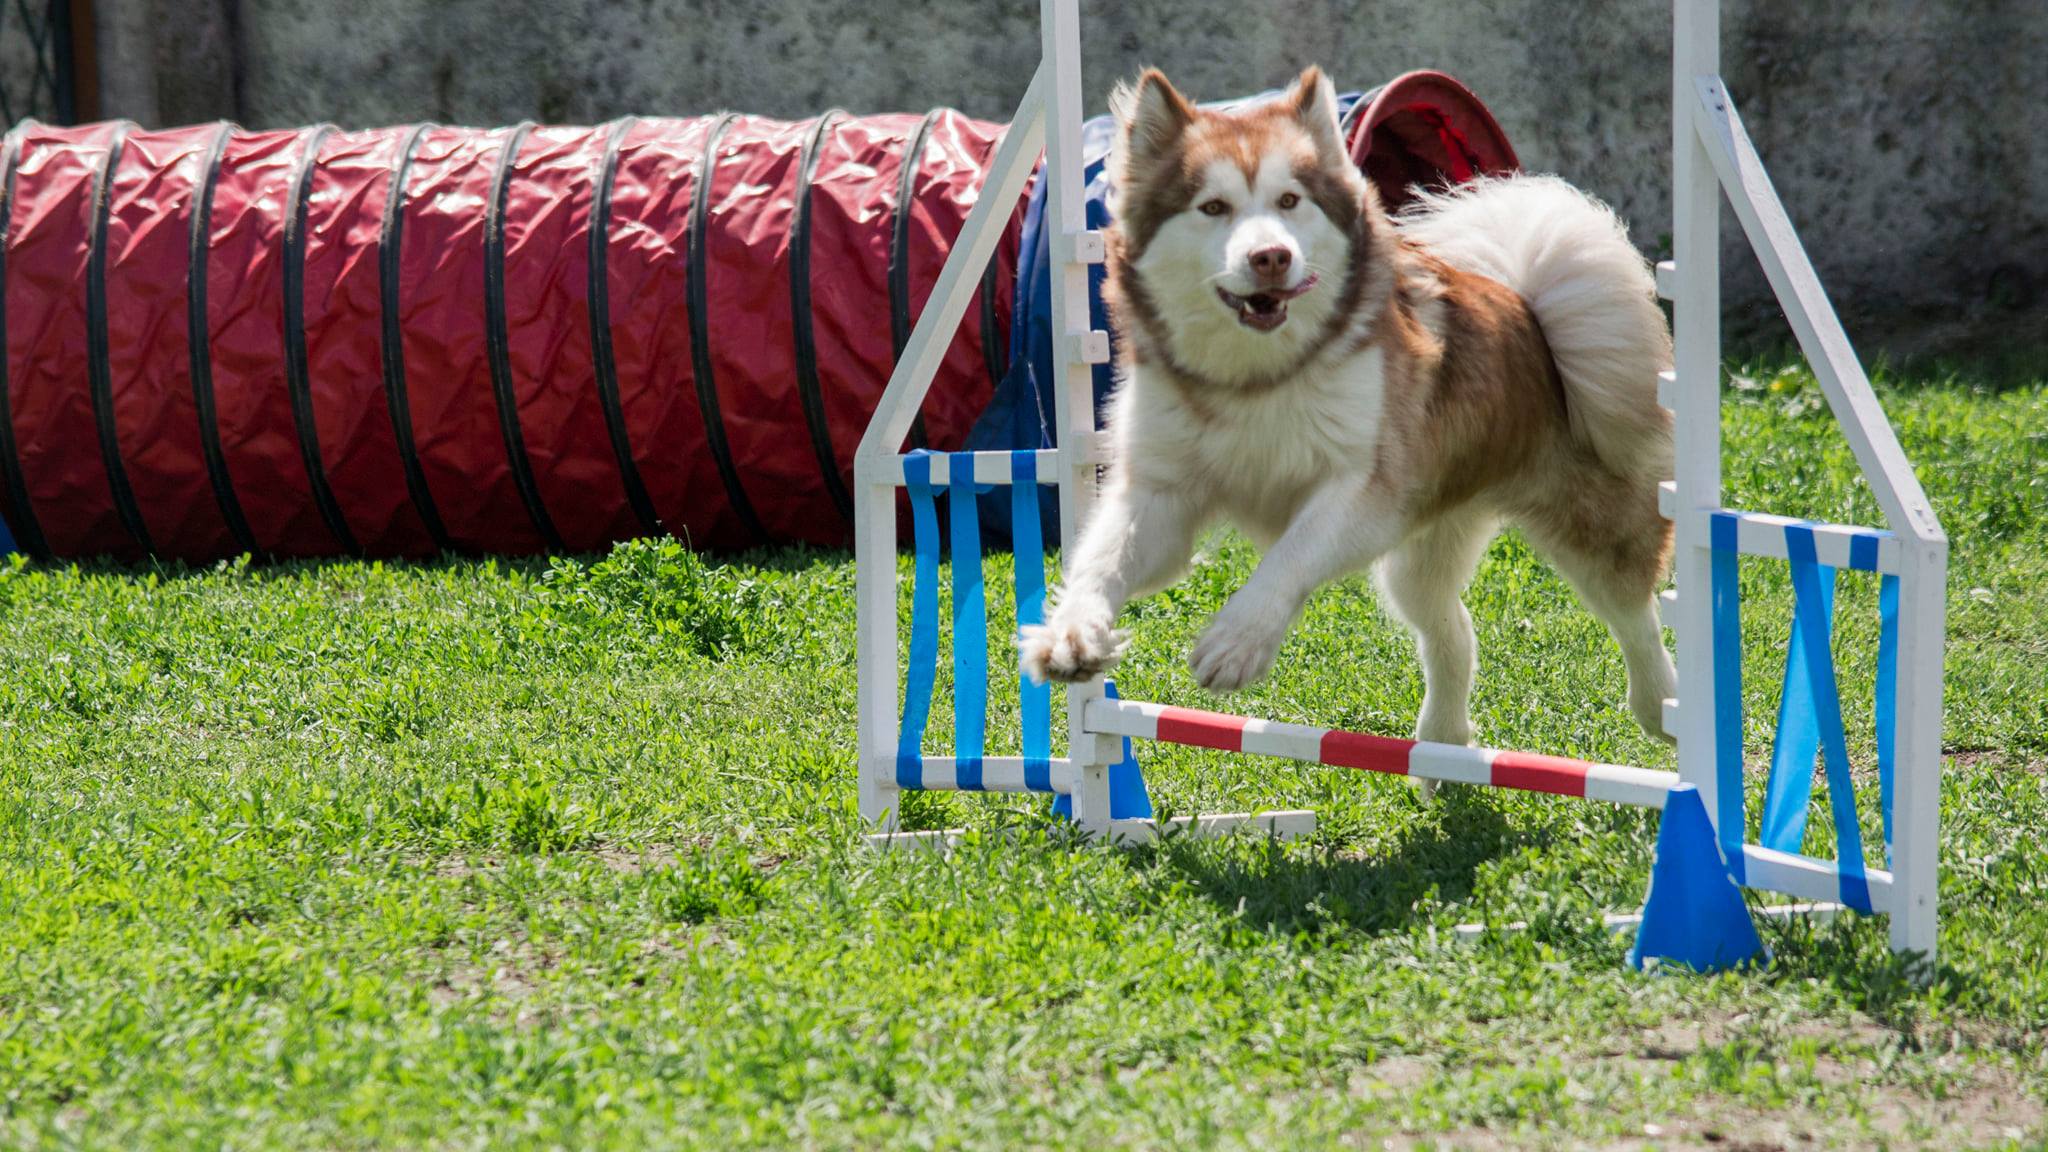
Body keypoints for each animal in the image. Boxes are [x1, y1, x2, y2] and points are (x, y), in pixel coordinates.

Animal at [1016, 65, 1678, 775]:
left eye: (1289, 201)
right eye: (1213, 208)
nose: (1271, 257)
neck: (1256, 378)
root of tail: (1526, 310)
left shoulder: (1364, 492)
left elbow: (1289, 555)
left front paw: (1236, 641)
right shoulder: (1161, 496)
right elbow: (1100, 563)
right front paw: (1073, 634)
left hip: (1589, 524)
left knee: (1635, 609)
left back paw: (1662, 706)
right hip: (1426, 545)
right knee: (1453, 627)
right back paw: (1443, 746)